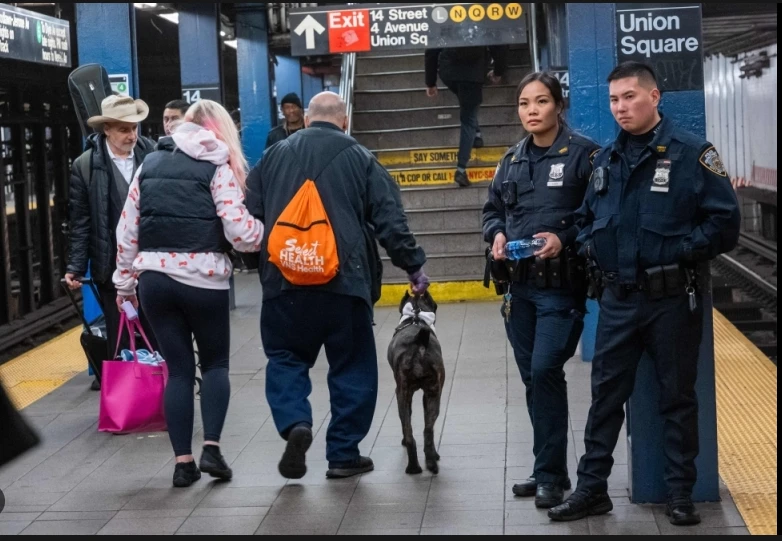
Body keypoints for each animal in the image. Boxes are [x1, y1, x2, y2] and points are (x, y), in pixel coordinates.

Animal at [388, 292, 444, 472]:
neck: (416, 317)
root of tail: (419, 342)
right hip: (433, 395)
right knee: (428, 430)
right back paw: (431, 462)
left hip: (404, 395)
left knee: (410, 433)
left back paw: (414, 467)